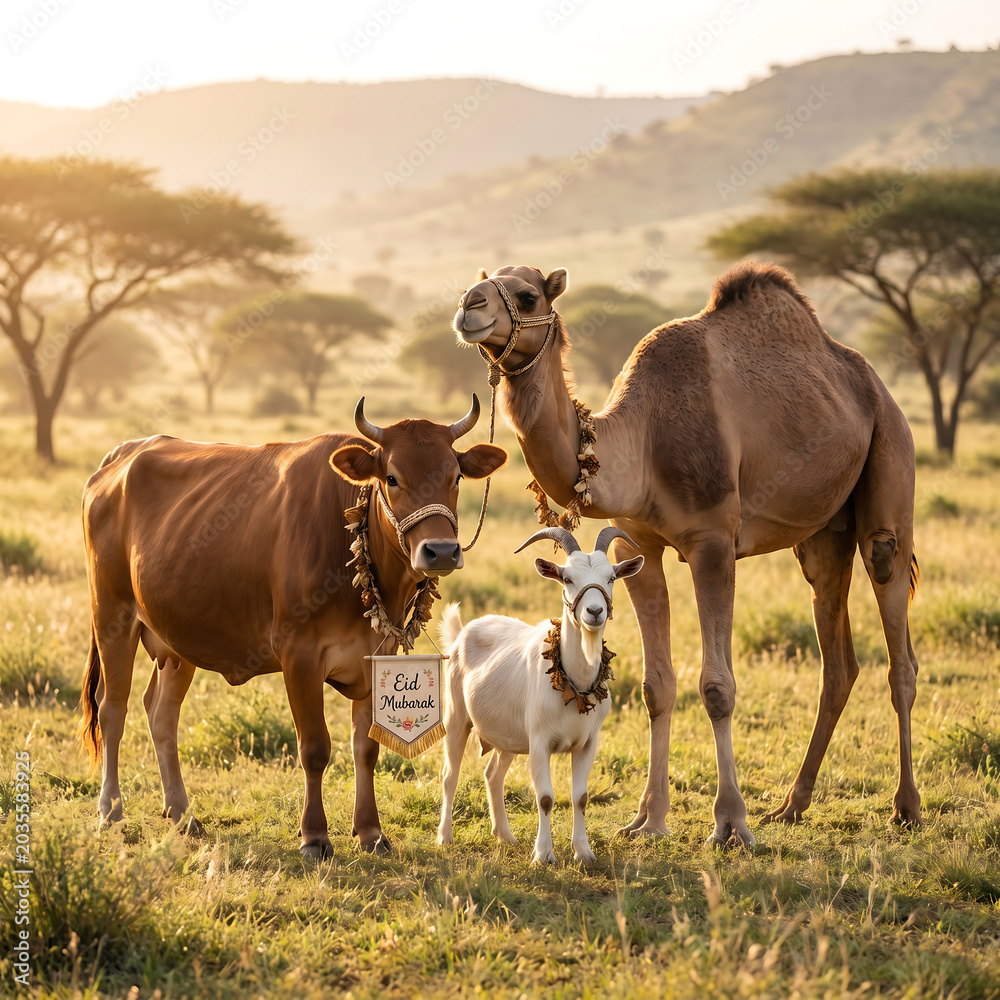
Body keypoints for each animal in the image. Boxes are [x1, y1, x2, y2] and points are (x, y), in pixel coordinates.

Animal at [79, 396, 506, 856]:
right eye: (391, 478)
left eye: (456, 475)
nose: (441, 551)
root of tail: (123, 453)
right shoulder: (299, 656)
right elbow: (315, 748)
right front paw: (314, 836)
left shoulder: (376, 655)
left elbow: (366, 748)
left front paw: (371, 832)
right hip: (112, 615)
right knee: (112, 709)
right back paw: (110, 811)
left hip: (177, 641)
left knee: (161, 714)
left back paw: (183, 815)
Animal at [437, 526, 644, 864]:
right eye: (567, 578)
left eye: (611, 577)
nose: (595, 611)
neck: (573, 684)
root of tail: (462, 632)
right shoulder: (539, 742)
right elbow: (545, 798)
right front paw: (544, 855)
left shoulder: (588, 743)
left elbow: (581, 797)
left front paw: (583, 852)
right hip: (456, 717)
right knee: (449, 774)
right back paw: (444, 837)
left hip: (506, 736)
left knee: (493, 775)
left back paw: (505, 836)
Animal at [452, 261, 920, 846]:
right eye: (481, 282)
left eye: (526, 294)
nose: (469, 306)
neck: (642, 439)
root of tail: (874, 385)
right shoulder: (639, 546)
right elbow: (656, 686)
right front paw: (647, 820)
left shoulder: (713, 542)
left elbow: (717, 687)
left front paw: (730, 823)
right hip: (824, 531)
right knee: (837, 659)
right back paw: (791, 805)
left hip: (890, 463)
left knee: (897, 637)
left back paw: (906, 806)